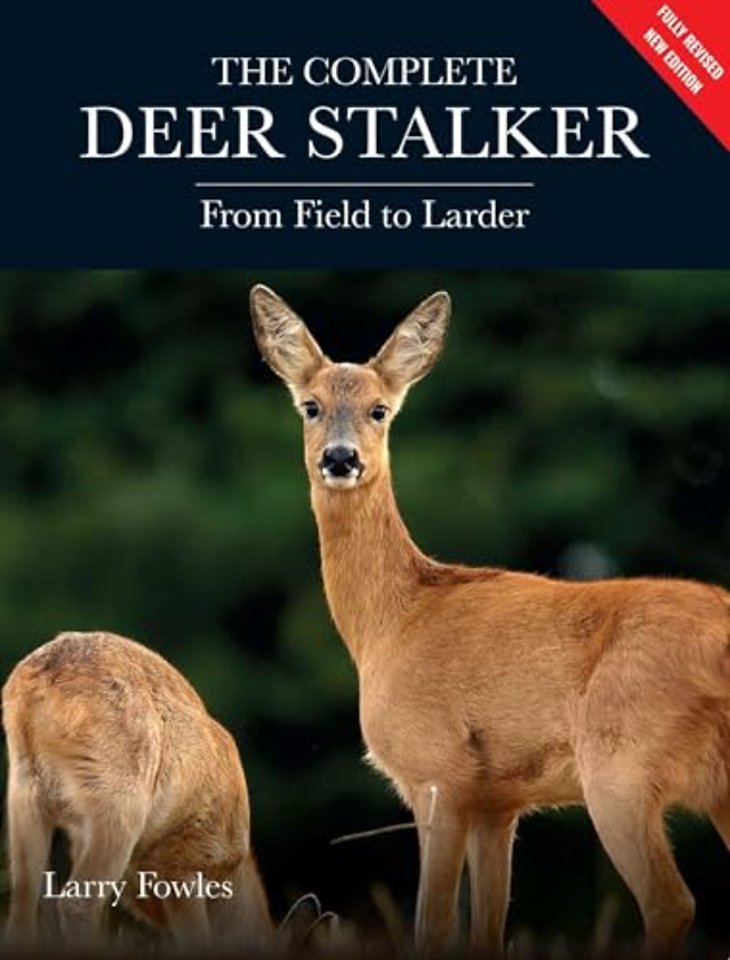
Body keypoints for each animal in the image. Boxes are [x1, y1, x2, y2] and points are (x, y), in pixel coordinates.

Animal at [250, 284, 730, 957]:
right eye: (310, 406)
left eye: (379, 410)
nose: (340, 459)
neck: (391, 623)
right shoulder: (498, 802)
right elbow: (486, 929)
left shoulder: (437, 772)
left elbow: (433, 925)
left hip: (621, 762)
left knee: (670, 902)